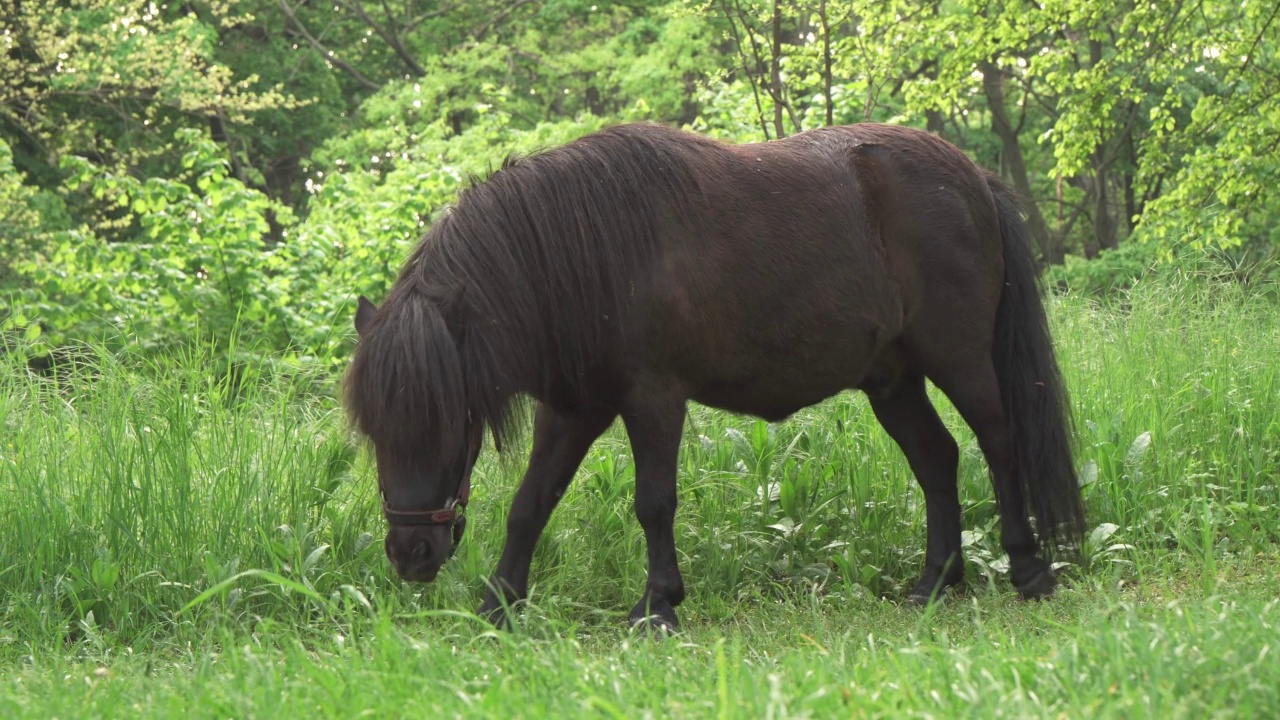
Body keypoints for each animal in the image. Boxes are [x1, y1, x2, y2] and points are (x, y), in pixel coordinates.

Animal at [345, 121, 1085, 627]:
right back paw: (934, 583)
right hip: (892, 381)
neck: (587, 253)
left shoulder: (653, 399)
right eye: (377, 431)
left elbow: (653, 502)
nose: (409, 553)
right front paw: (498, 606)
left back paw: (1028, 570)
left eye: (447, 422)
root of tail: (974, 179)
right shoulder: (575, 409)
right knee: (938, 459)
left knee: (1001, 444)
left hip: (960, 358)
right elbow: (532, 504)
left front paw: (658, 607)